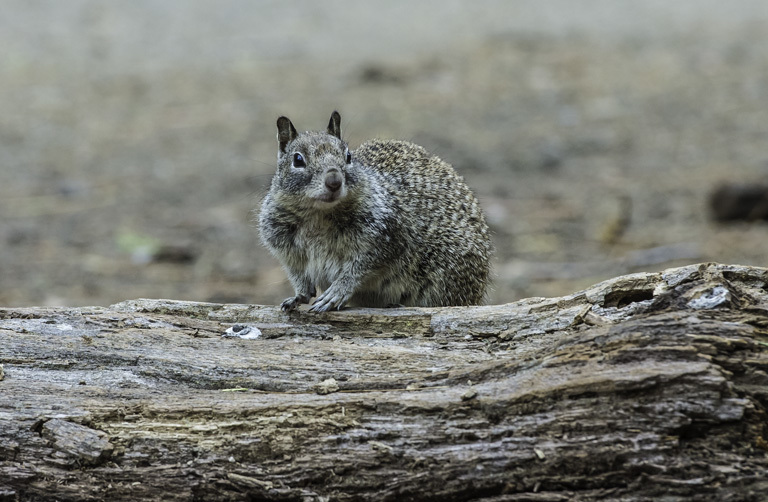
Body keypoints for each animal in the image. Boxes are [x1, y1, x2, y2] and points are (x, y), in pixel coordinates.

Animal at [258, 112, 492, 312]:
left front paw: (337, 291)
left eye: (348, 156)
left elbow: (359, 268)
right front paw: (298, 297)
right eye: (298, 160)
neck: (319, 215)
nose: (334, 181)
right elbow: (299, 277)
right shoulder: (286, 250)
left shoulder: (387, 238)